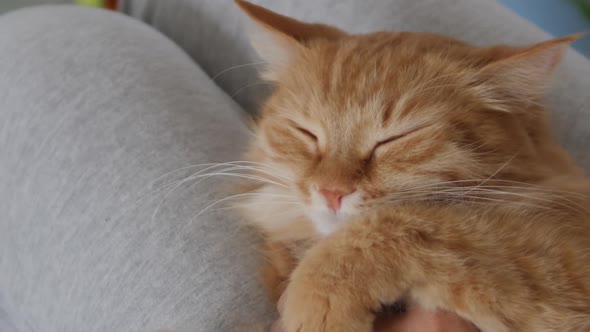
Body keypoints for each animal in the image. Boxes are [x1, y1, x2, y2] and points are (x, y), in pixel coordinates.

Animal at [236, 1, 590, 330]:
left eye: (394, 139)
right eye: (306, 133)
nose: (330, 193)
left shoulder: (564, 266)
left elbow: (408, 221)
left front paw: (318, 295)